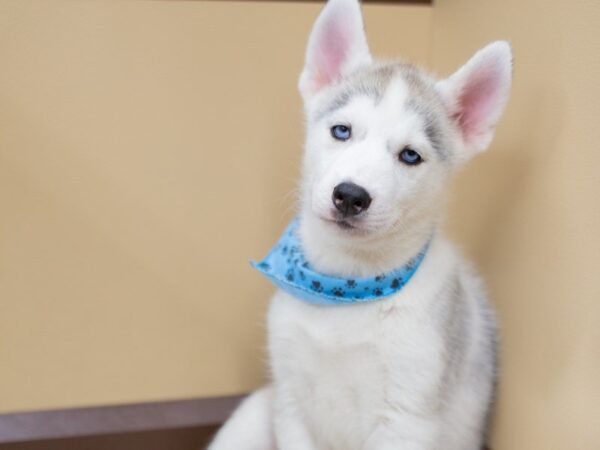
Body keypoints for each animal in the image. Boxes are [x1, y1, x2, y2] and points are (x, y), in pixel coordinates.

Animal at [210, 0, 510, 448]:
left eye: (410, 156)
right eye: (342, 131)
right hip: (252, 414)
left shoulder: (405, 418)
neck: (344, 287)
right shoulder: (290, 403)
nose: (350, 196)